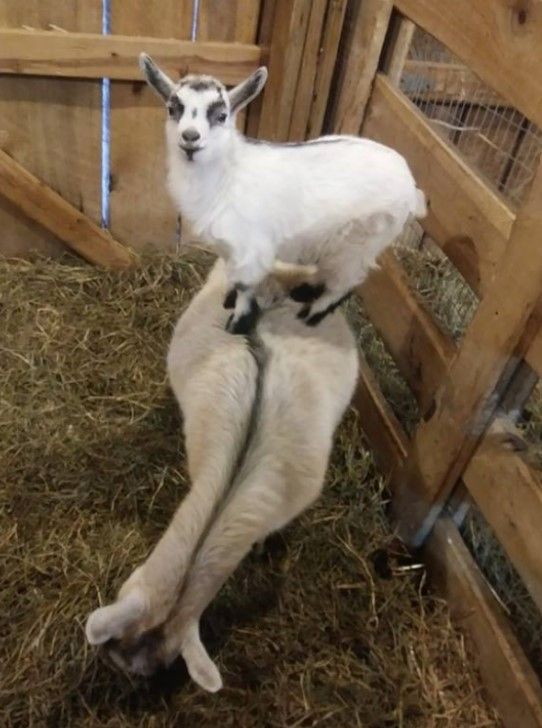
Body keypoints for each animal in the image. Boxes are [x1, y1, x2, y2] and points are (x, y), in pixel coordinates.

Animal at [139, 55, 426, 334]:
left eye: (221, 115)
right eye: (172, 109)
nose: (190, 137)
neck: (228, 175)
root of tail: (410, 184)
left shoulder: (251, 250)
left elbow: (245, 285)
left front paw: (238, 323)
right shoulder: (230, 249)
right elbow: (233, 277)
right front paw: (229, 299)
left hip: (361, 243)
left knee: (346, 280)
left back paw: (312, 312)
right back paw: (305, 290)